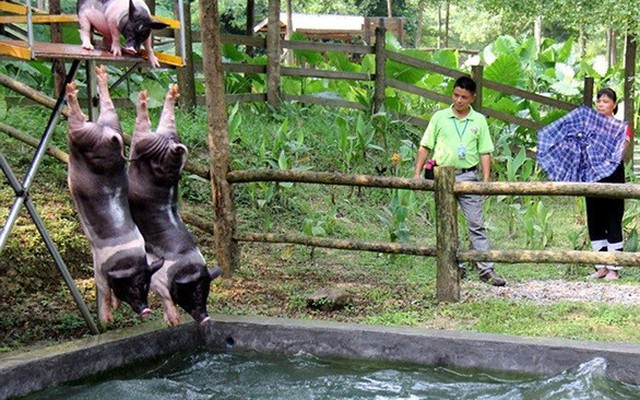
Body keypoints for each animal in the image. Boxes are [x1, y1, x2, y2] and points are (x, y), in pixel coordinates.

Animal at [65, 65, 162, 326]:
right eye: (134, 287)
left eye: (147, 285)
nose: (147, 310)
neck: (126, 260)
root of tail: (110, 134)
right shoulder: (100, 267)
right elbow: (104, 291)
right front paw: (107, 318)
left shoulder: (99, 265)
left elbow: (106, 291)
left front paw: (108, 318)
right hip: (102, 127)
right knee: (92, 113)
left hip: (97, 127)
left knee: (94, 111)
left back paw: (80, 85)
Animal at [127, 86, 222, 326]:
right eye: (194, 291)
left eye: (207, 291)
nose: (206, 318)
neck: (182, 265)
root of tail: (171, 145)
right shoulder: (158, 277)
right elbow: (164, 294)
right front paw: (173, 321)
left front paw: (172, 323)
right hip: (146, 142)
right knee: (142, 128)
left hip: (159, 135)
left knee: (162, 119)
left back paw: (166, 94)